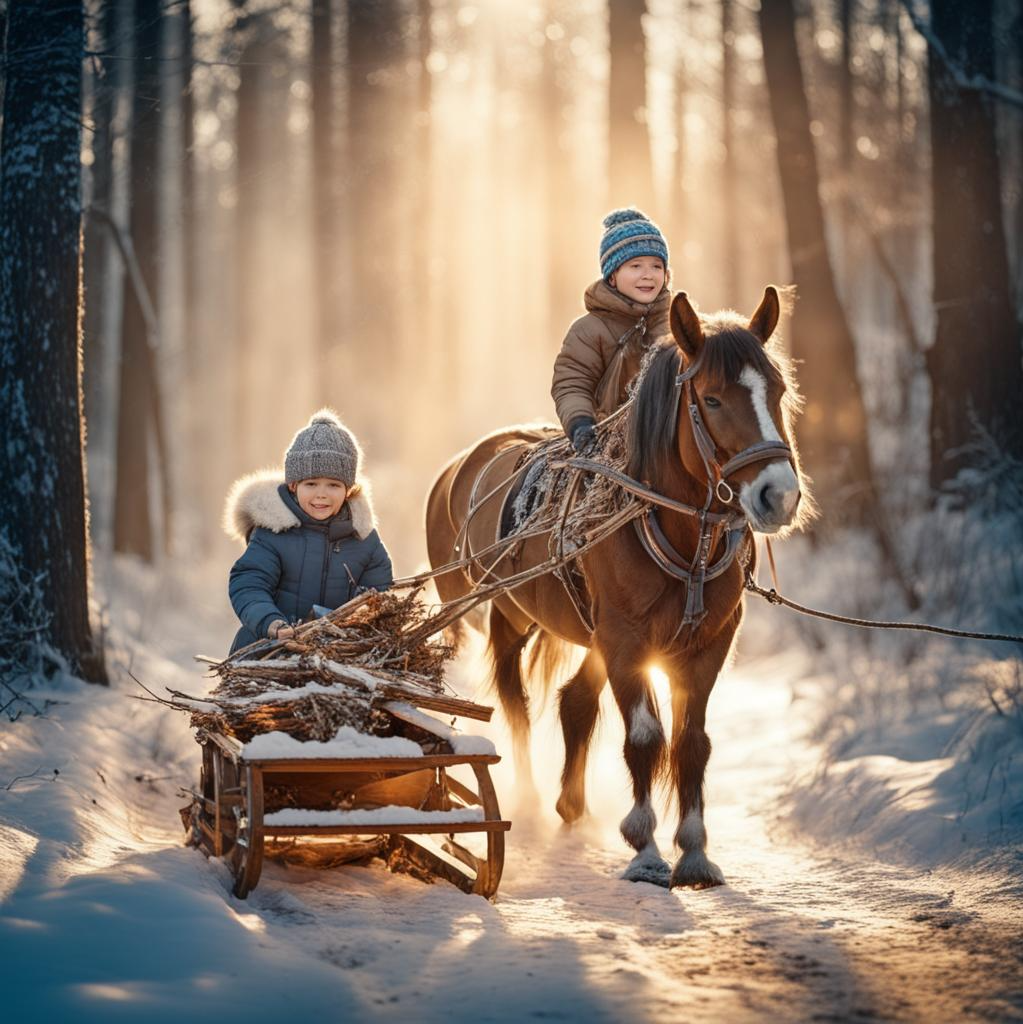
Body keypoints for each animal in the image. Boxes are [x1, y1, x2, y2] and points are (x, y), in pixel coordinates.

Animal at [423, 288, 806, 888]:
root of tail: (460, 467)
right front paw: (645, 849)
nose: (779, 495)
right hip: (505, 611)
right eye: (713, 399)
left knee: (576, 701)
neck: (673, 529)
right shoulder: (626, 641)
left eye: (779, 391)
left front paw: (694, 852)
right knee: (515, 700)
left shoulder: (707, 644)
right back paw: (530, 801)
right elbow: (646, 738)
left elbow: (692, 742)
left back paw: (570, 804)